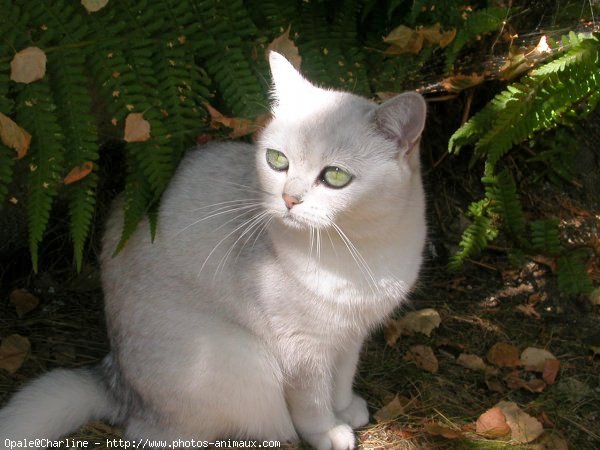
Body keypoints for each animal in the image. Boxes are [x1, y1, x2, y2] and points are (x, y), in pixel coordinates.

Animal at [0, 52, 426, 450]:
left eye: (335, 176)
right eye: (277, 161)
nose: (289, 199)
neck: (357, 247)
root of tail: (117, 383)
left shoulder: (350, 335)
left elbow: (341, 381)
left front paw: (346, 409)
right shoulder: (303, 350)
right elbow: (314, 403)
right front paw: (329, 432)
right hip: (237, 361)